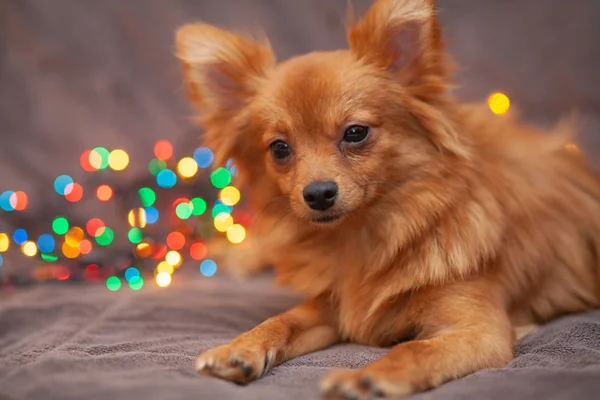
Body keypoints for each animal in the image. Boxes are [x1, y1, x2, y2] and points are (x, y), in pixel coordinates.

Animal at [173, 1, 600, 398]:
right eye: (279, 149)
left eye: (355, 133)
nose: (318, 193)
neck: (369, 233)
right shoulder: (334, 307)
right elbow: (283, 319)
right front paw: (239, 347)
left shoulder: (481, 332)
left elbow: (413, 350)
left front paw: (366, 378)